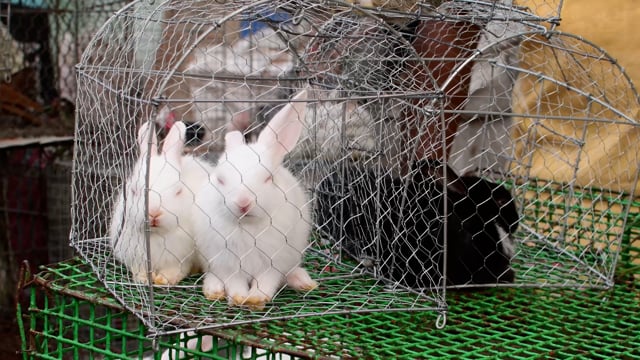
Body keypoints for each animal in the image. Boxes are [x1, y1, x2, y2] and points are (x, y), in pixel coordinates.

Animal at [111, 121, 214, 286]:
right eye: (134, 190)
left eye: (178, 191)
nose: (153, 213)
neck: (156, 235)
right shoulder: (136, 256)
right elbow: (138, 268)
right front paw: (143, 279)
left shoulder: (180, 258)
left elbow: (176, 269)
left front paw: (164, 279)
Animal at [194, 90, 316, 306]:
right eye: (221, 179)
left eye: (268, 178)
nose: (243, 203)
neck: (247, 226)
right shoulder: (227, 263)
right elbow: (234, 281)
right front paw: (240, 298)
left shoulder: (273, 263)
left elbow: (266, 281)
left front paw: (256, 299)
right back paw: (213, 290)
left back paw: (303, 281)